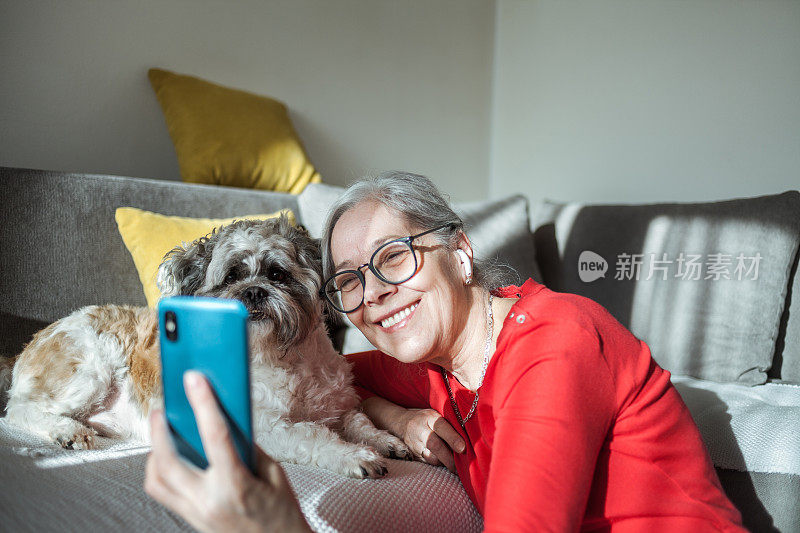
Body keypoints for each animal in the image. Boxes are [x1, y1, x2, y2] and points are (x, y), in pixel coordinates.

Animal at [1, 216, 406, 478]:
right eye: (230, 277)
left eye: (277, 274)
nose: (253, 291)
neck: (286, 357)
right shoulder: (262, 426)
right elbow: (311, 435)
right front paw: (353, 455)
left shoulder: (340, 404)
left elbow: (359, 420)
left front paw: (385, 440)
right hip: (94, 365)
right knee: (20, 409)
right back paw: (67, 431)